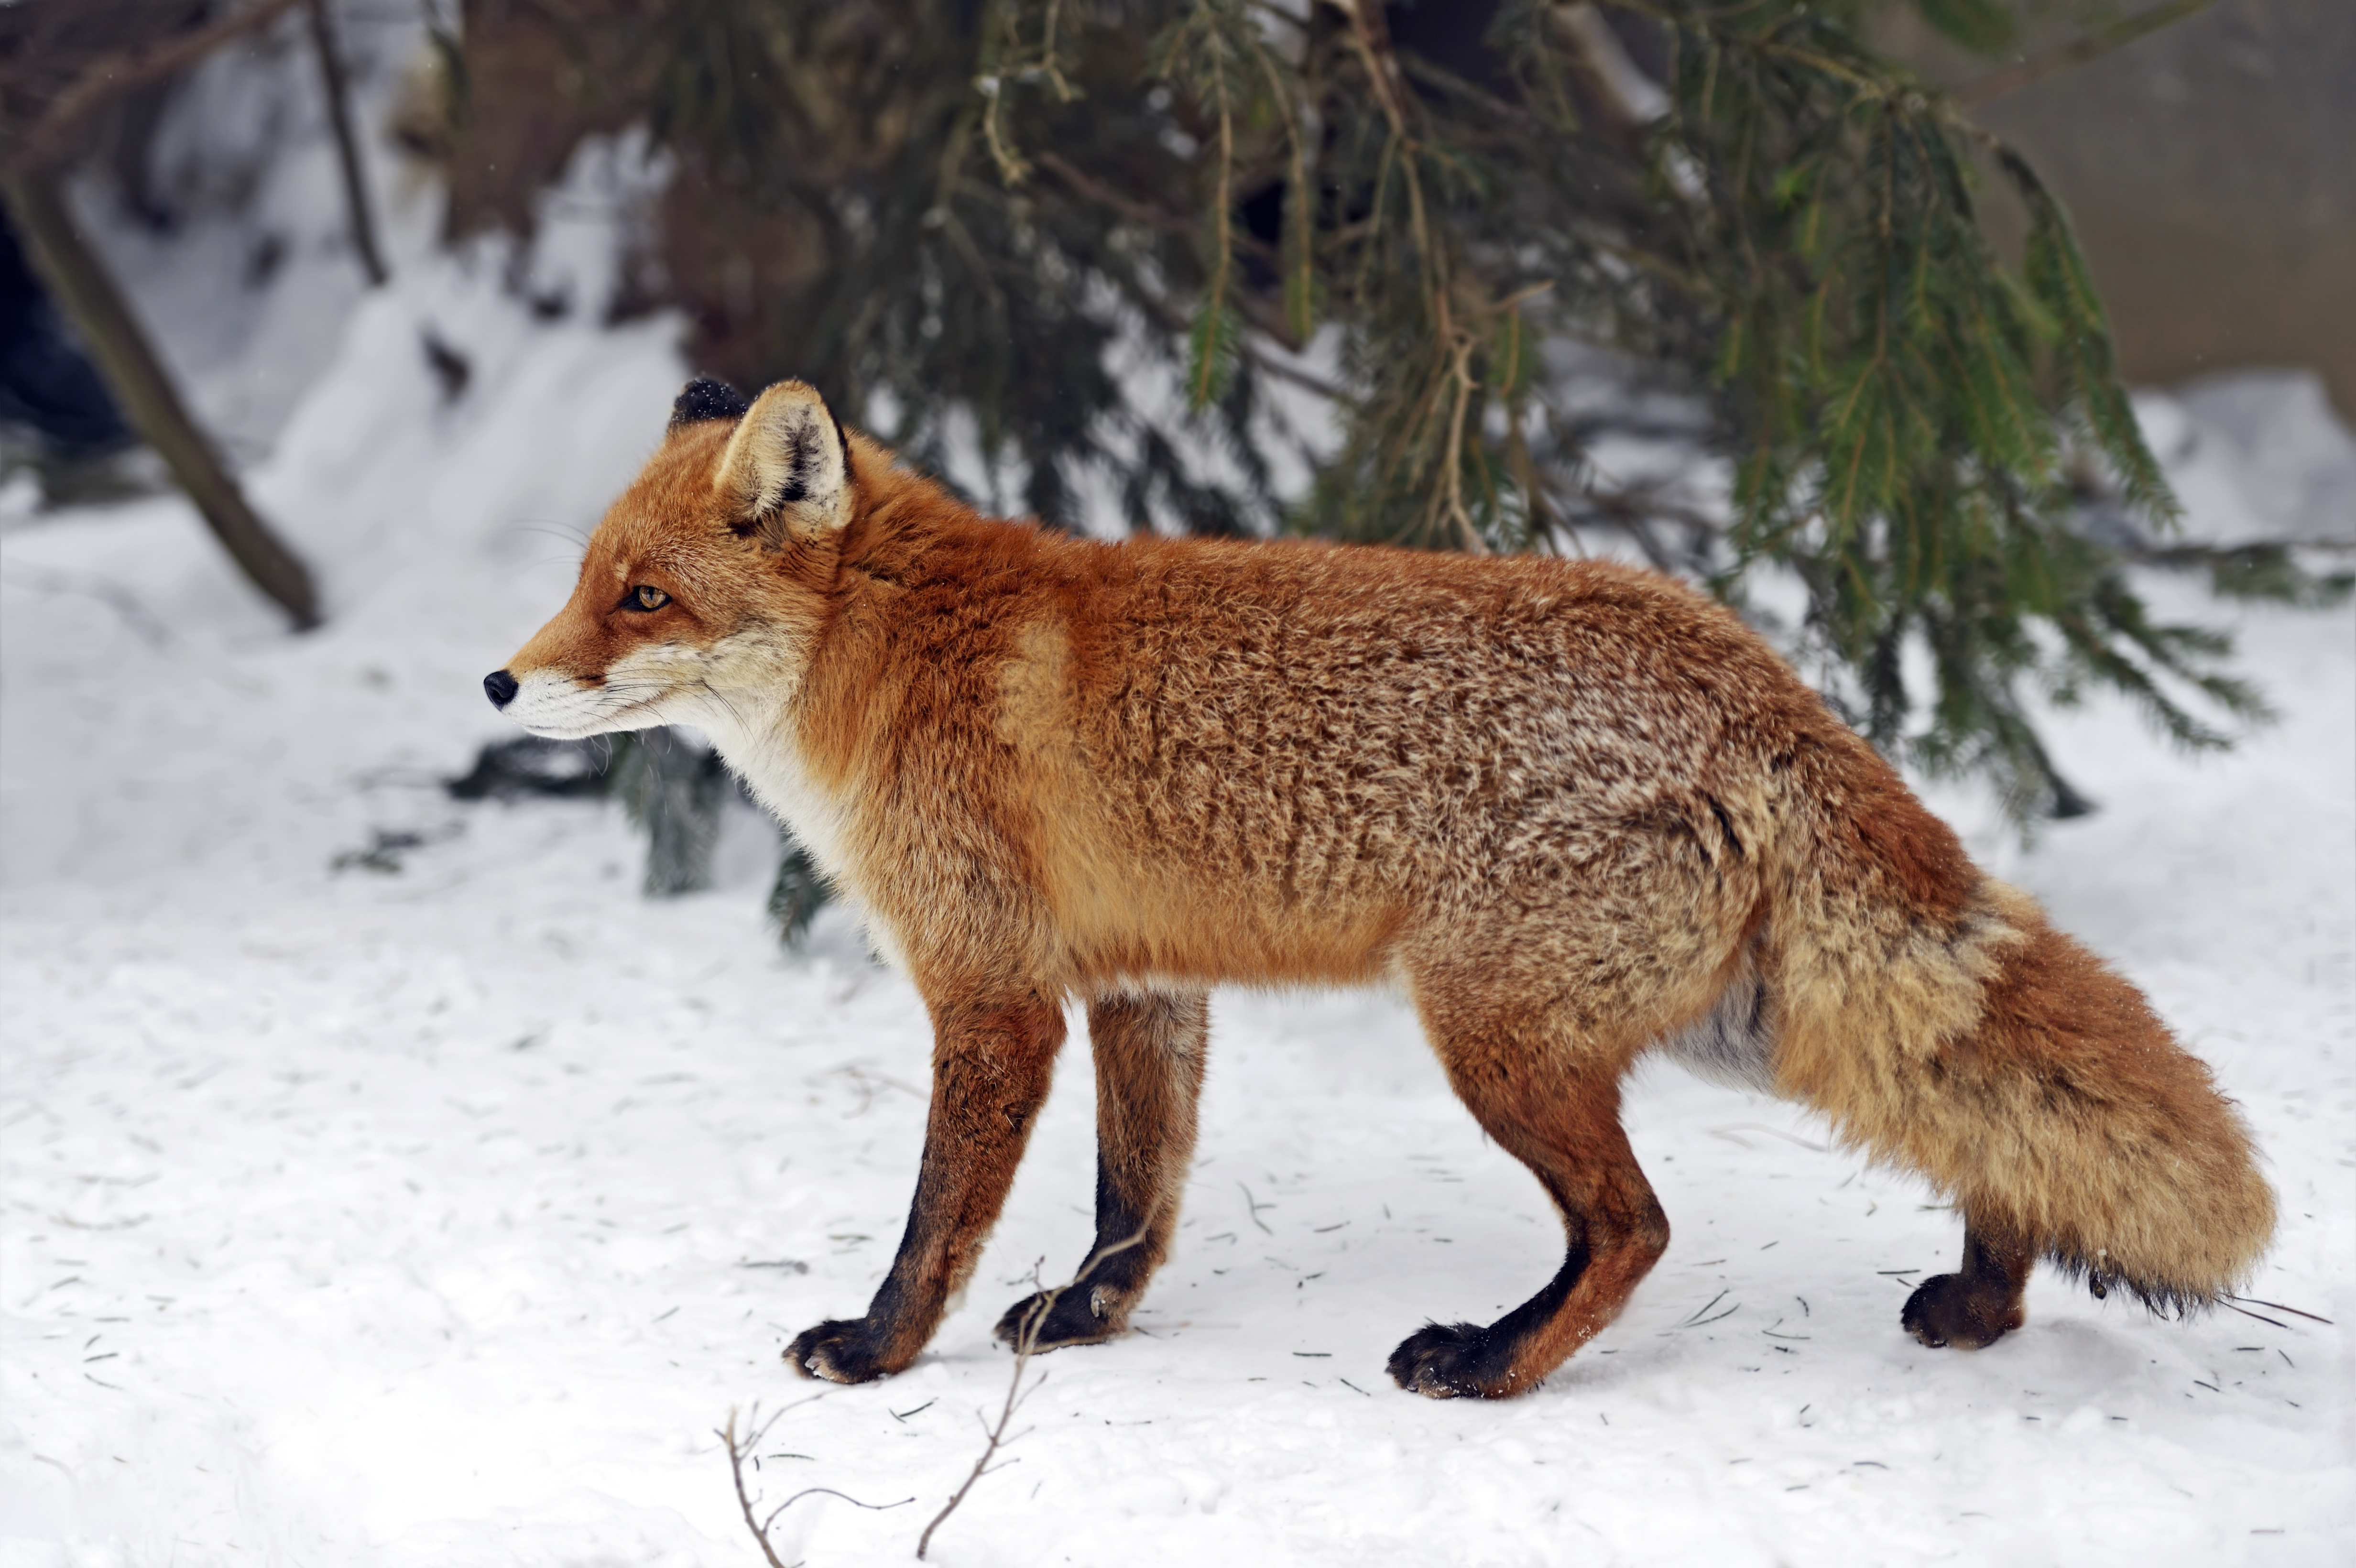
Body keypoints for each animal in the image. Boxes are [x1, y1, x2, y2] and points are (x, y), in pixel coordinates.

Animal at [488, 376, 2271, 1394]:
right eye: (580, 581)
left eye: (642, 598)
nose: (502, 685)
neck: (896, 659)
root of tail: (1748, 670)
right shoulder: (1142, 984)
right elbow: (1132, 1201)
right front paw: (1085, 1325)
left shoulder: (993, 996)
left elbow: (938, 1216)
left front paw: (875, 1352)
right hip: (1726, 1026)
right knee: (1981, 1130)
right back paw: (1984, 1300)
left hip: (1493, 1035)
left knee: (1634, 1227)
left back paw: (1489, 1366)